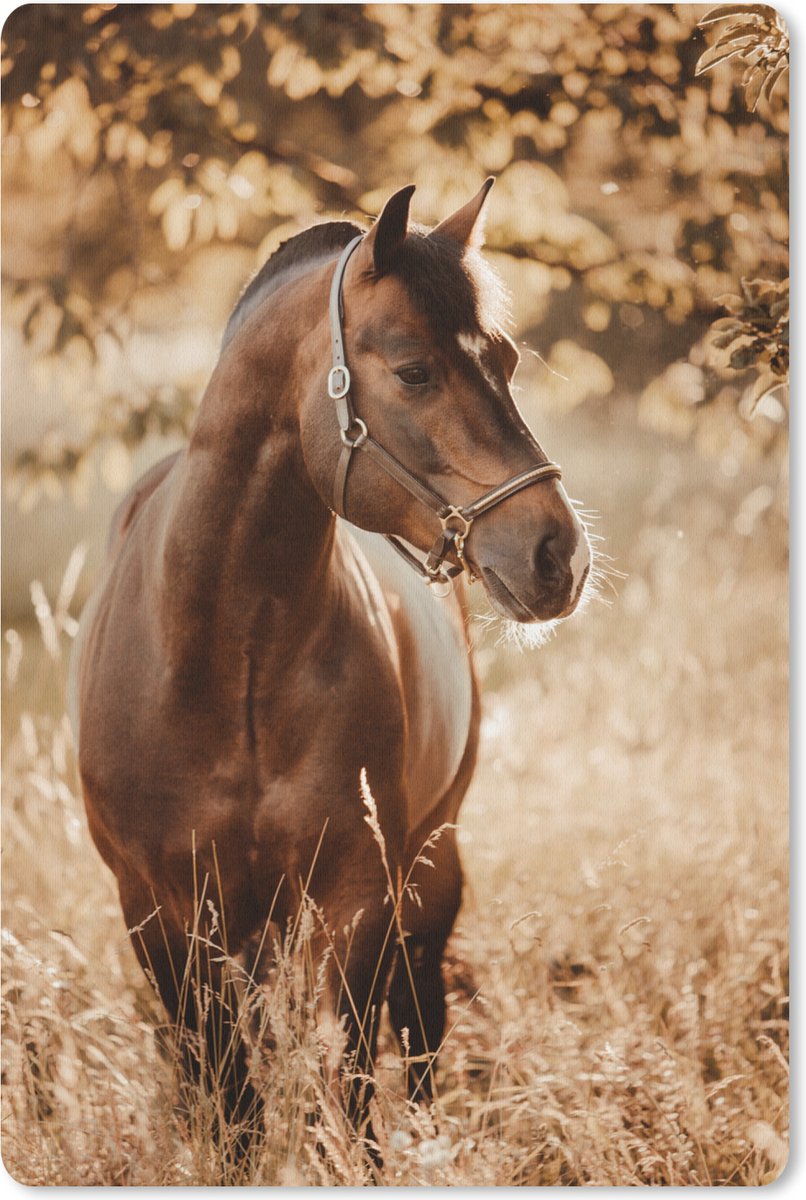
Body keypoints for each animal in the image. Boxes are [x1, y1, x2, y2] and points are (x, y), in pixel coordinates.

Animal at [68, 177, 591, 1162]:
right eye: (415, 371)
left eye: (505, 359)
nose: (559, 555)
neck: (225, 658)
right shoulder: (161, 913)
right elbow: (231, 1102)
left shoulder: (358, 899)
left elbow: (351, 1087)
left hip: (431, 864)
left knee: (419, 1029)